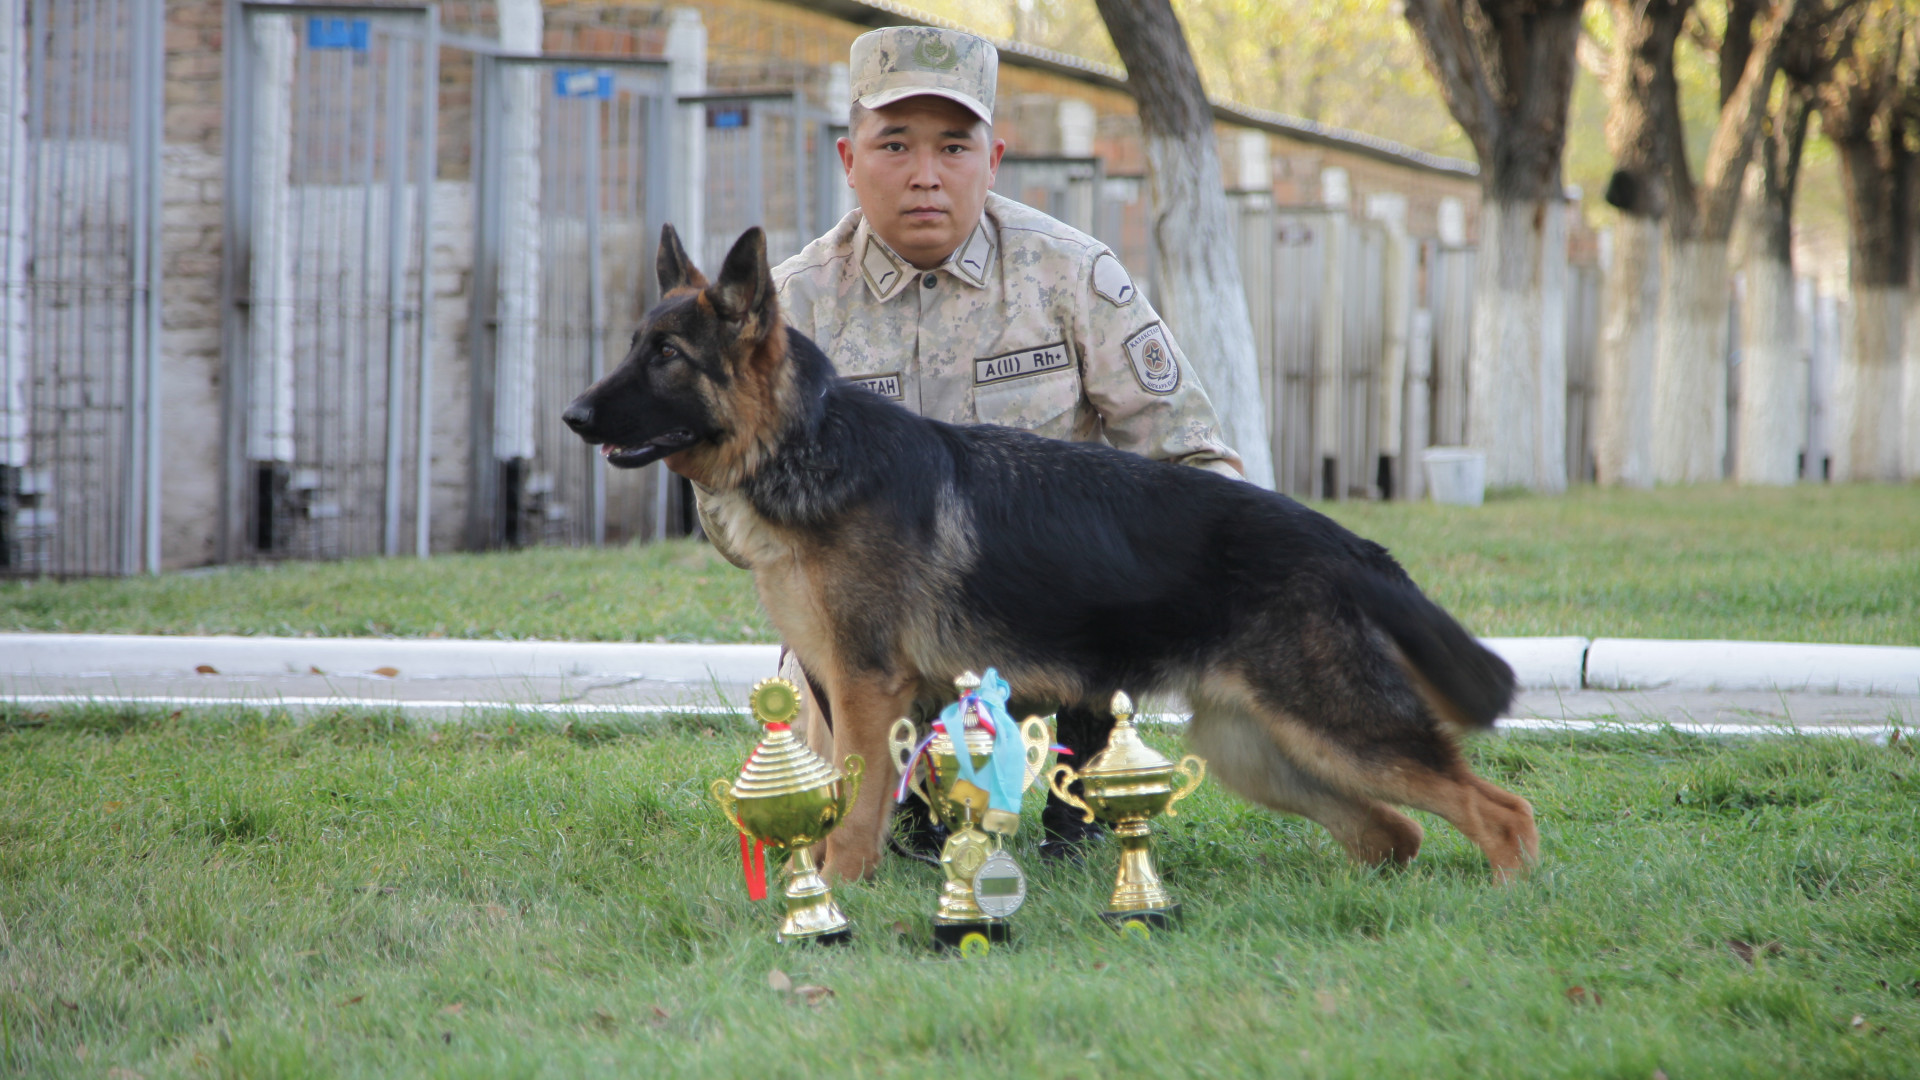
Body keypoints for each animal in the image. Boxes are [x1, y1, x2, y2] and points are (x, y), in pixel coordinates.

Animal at [560, 226, 1536, 883]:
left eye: (668, 356)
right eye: (634, 347)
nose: (572, 416)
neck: (806, 443)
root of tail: (1345, 541)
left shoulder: (868, 693)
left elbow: (855, 810)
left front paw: (832, 896)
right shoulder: (840, 692)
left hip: (1337, 733)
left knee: (1500, 810)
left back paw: (1503, 894)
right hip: (1258, 750)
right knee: (1396, 833)